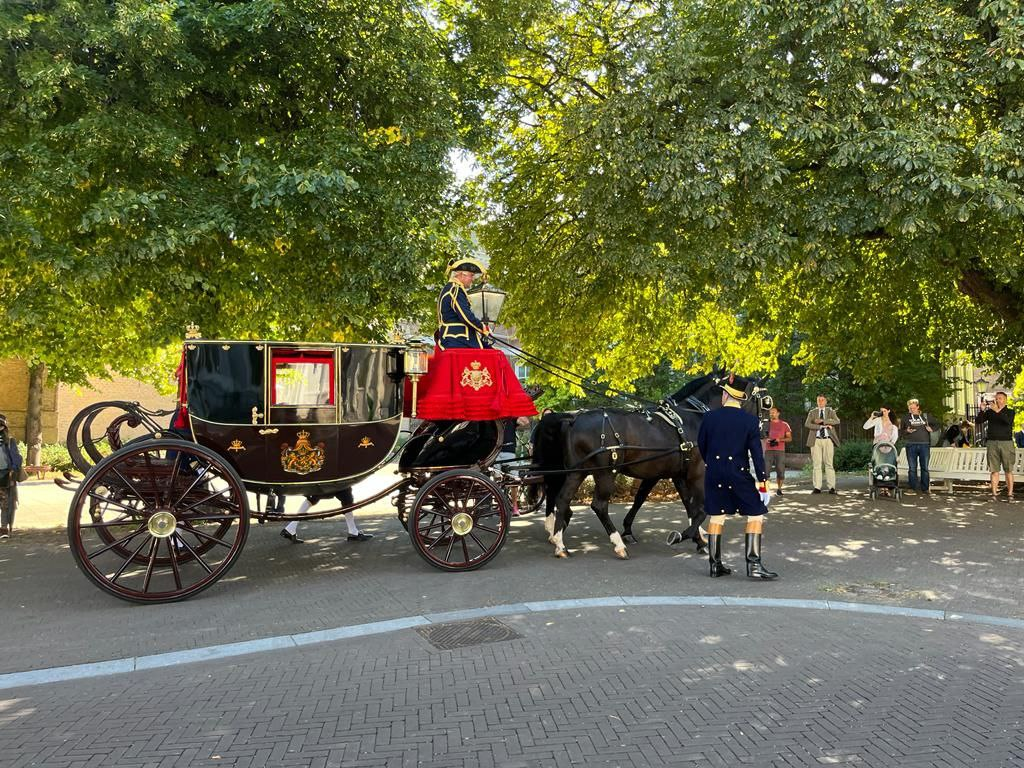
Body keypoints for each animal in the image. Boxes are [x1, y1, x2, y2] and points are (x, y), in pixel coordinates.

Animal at [536, 374, 770, 561]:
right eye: (765, 401)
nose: (765, 432)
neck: (692, 418)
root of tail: (572, 419)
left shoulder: (678, 474)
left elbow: (689, 507)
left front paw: (699, 539)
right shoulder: (695, 473)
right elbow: (700, 509)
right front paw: (683, 536)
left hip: (577, 472)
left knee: (562, 499)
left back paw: (560, 543)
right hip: (605, 473)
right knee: (599, 505)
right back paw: (617, 544)